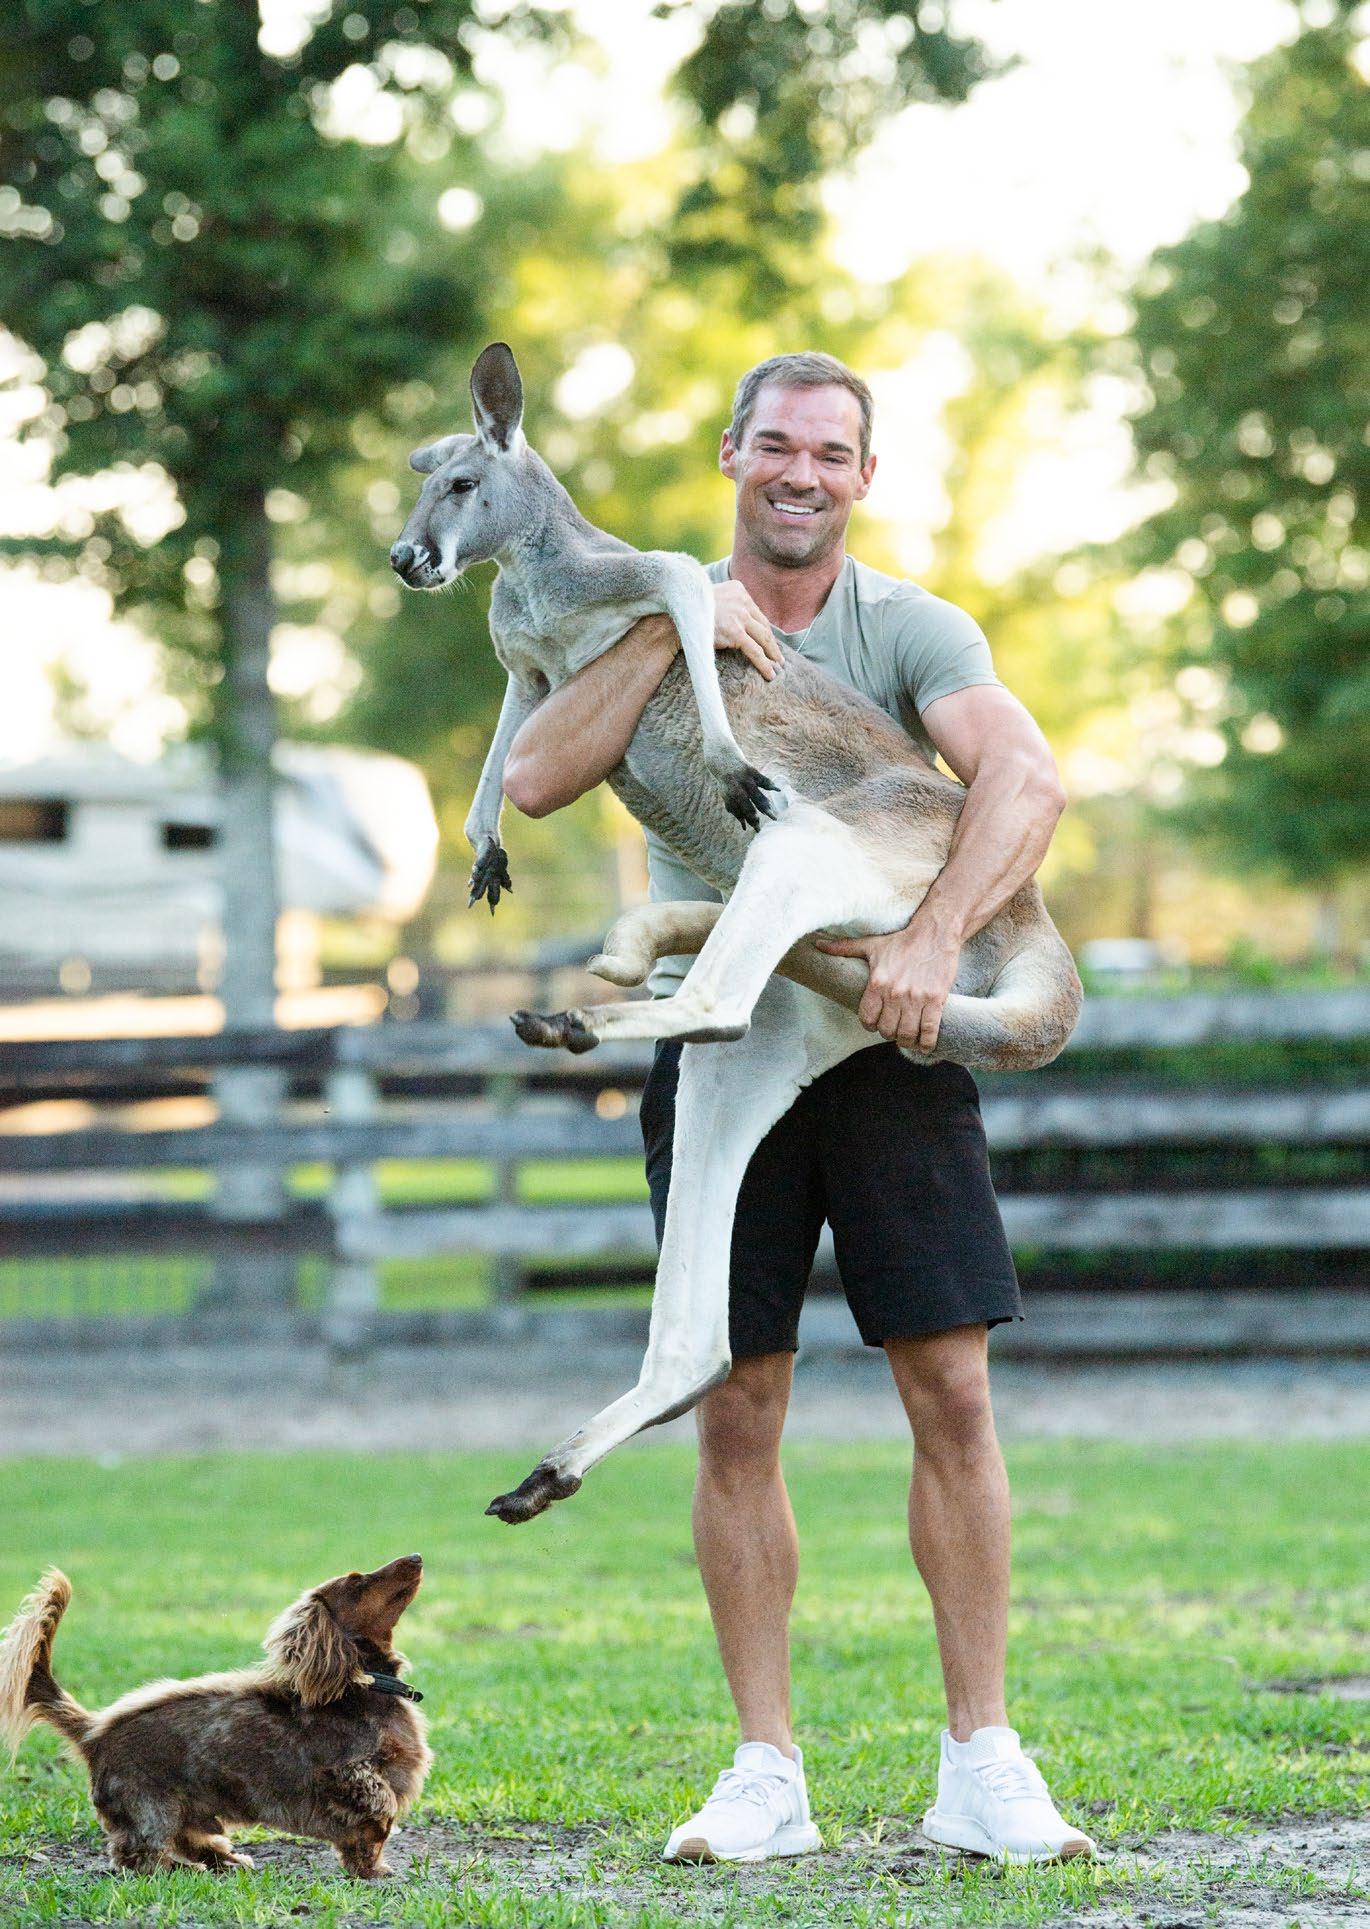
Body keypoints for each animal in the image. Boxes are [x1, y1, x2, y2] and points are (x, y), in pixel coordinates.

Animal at [0, 1555, 430, 1879]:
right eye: (358, 1581)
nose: (416, 1557)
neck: (368, 1688)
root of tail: (94, 1732)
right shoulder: (346, 1774)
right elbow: (376, 1812)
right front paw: (373, 1870)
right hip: (152, 1808)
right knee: (138, 1856)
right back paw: (183, 1868)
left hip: (190, 1810)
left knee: (191, 1841)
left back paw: (227, 1860)